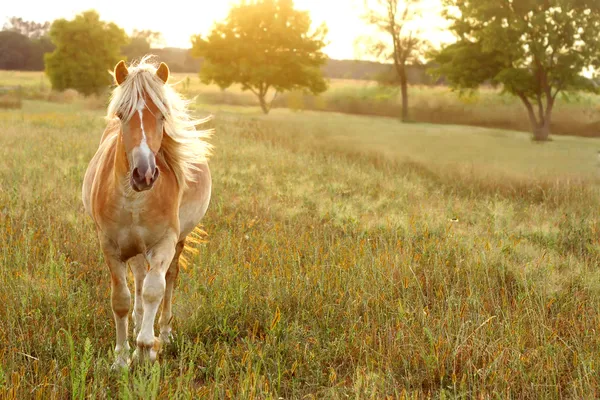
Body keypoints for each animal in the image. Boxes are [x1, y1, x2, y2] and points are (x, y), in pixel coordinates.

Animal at [81, 57, 213, 368]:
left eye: (162, 117)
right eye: (121, 115)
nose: (145, 174)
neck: (134, 199)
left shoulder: (164, 243)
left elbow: (156, 290)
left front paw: (145, 350)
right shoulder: (110, 246)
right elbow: (121, 299)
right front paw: (121, 358)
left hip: (177, 242)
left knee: (169, 280)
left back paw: (163, 333)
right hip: (136, 248)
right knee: (139, 279)